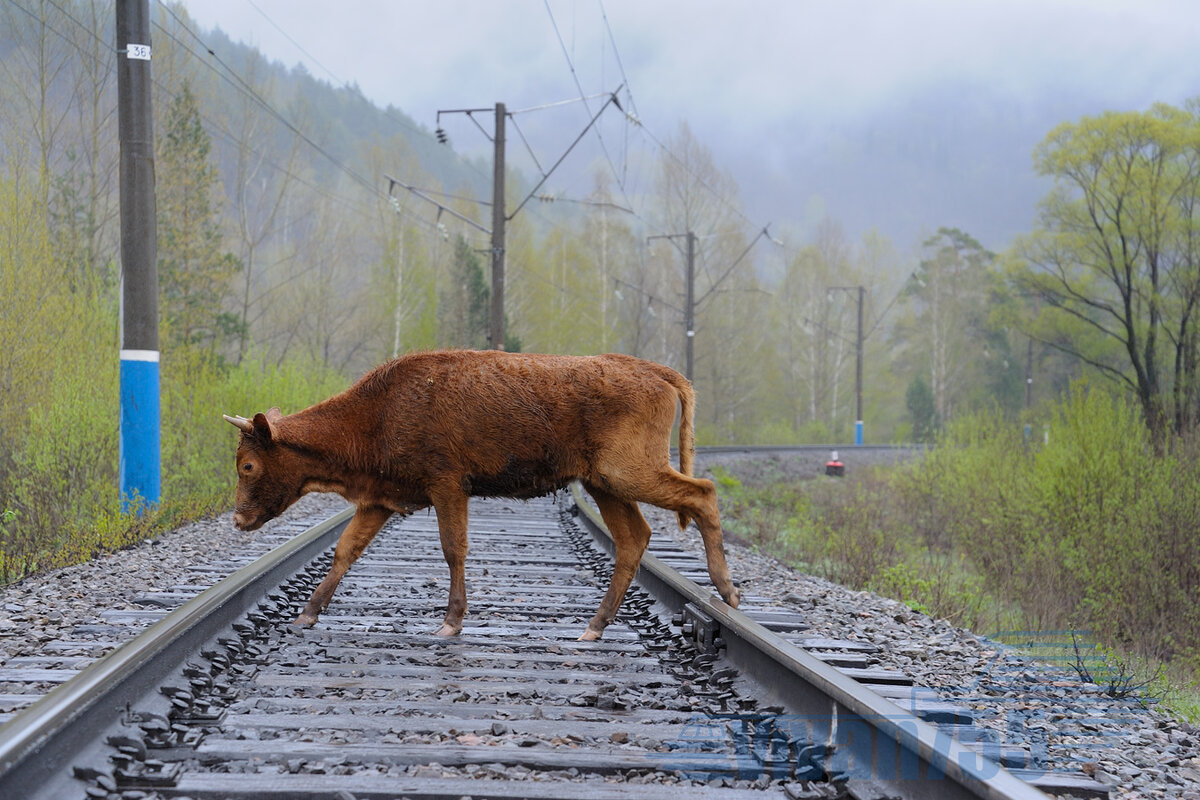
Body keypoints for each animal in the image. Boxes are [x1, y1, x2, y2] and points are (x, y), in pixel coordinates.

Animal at [220, 350, 734, 638]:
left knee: (702, 493)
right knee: (635, 538)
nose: (239, 520)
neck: (375, 416)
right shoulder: (381, 500)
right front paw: (307, 614)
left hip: (629, 471)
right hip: (602, 482)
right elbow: (346, 550)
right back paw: (594, 627)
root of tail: (661, 373)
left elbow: (454, 549)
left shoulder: (447, 484)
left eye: (248, 465)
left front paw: (450, 622)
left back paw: (726, 591)